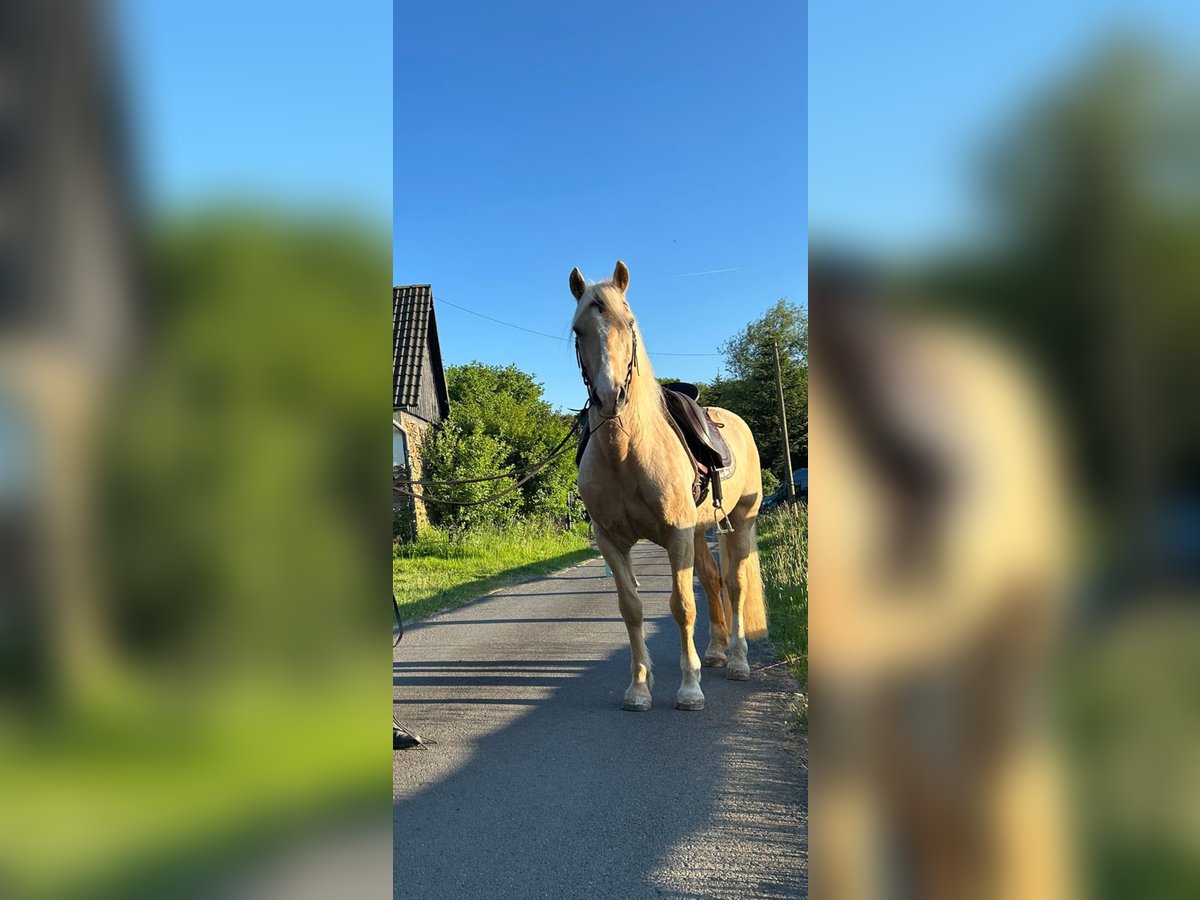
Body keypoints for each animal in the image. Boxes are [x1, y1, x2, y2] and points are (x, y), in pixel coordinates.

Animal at [568, 260, 767, 712]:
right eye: (578, 330)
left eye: (628, 323)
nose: (609, 397)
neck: (627, 450)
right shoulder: (612, 541)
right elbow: (632, 608)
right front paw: (639, 688)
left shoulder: (676, 537)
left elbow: (682, 606)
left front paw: (689, 688)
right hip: (698, 532)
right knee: (712, 581)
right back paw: (716, 652)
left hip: (740, 521)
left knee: (735, 585)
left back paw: (738, 662)